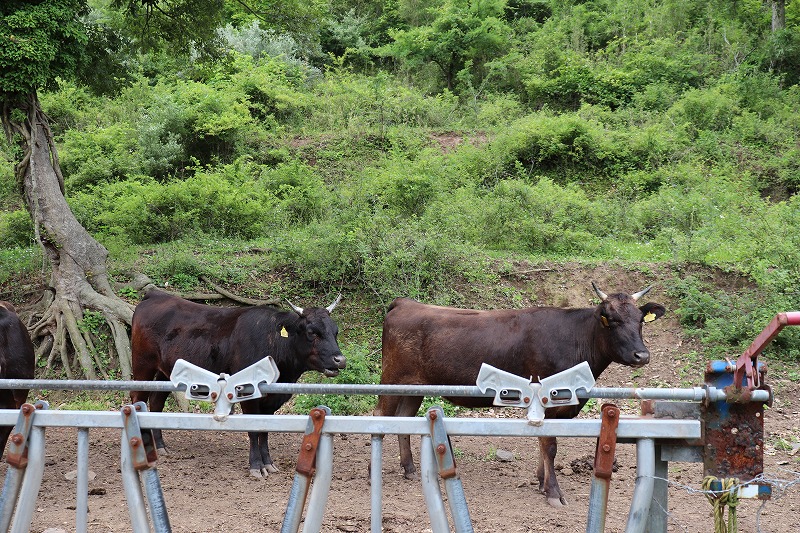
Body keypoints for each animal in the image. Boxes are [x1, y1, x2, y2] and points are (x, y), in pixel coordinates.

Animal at [130, 290, 346, 478]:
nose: (340, 360)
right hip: (143, 365)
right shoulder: (247, 394)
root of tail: (156, 295)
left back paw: (161, 447)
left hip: (164, 372)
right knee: (137, 398)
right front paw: (256, 466)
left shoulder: (271, 400)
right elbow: (253, 429)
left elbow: (264, 430)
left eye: (335, 332)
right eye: (312, 332)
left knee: (156, 401)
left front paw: (268, 463)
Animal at [378, 280, 664, 504]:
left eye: (640, 321)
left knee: (403, 420)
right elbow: (550, 446)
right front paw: (553, 492)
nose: (642, 355)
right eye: (612, 321)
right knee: (381, 415)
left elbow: (543, 444)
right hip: (391, 379)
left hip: (414, 387)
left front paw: (541, 481)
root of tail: (406, 303)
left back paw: (409, 469)